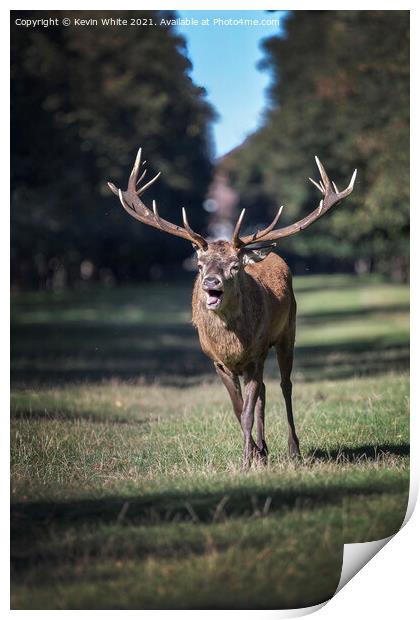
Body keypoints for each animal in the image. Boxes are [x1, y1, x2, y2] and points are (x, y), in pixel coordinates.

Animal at [107, 150, 354, 468]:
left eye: (234, 266)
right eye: (200, 264)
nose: (211, 282)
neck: (230, 346)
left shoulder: (256, 355)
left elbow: (247, 411)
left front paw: (246, 461)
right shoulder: (217, 362)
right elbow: (239, 410)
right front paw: (254, 454)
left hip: (288, 331)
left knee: (285, 385)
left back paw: (292, 449)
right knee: (263, 393)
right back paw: (265, 450)